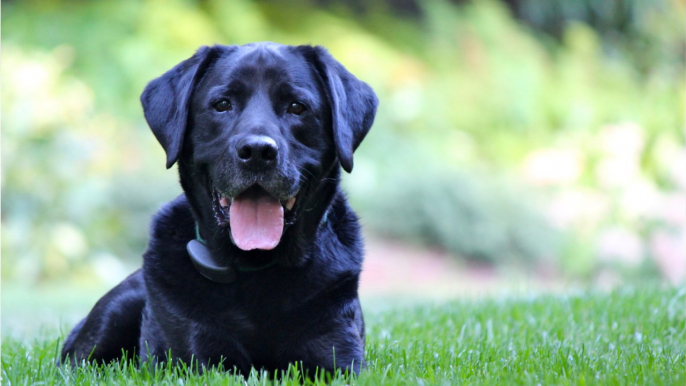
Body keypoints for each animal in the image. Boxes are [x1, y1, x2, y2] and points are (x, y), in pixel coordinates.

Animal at [61, 42, 378, 376]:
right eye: (222, 104)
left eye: (297, 107)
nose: (257, 152)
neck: (257, 271)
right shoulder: (200, 360)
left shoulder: (339, 357)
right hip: (114, 312)